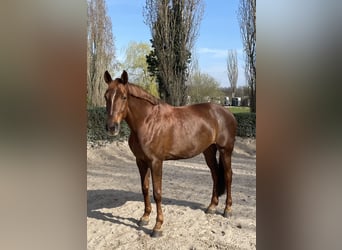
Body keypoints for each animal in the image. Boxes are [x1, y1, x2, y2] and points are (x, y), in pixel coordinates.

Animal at [104, 70, 236, 236]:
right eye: (106, 96)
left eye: (123, 97)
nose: (111, 127)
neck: (148, 122)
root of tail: (227, 112)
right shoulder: (140, 161)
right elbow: (145, 189)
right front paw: (144, 217)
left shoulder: (156, 162)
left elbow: (157, 193)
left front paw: (157, 226)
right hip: (209, 151)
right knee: (215, 175)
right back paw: (212, 207)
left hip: (225, 150)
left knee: (228, 176)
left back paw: (228, 210)